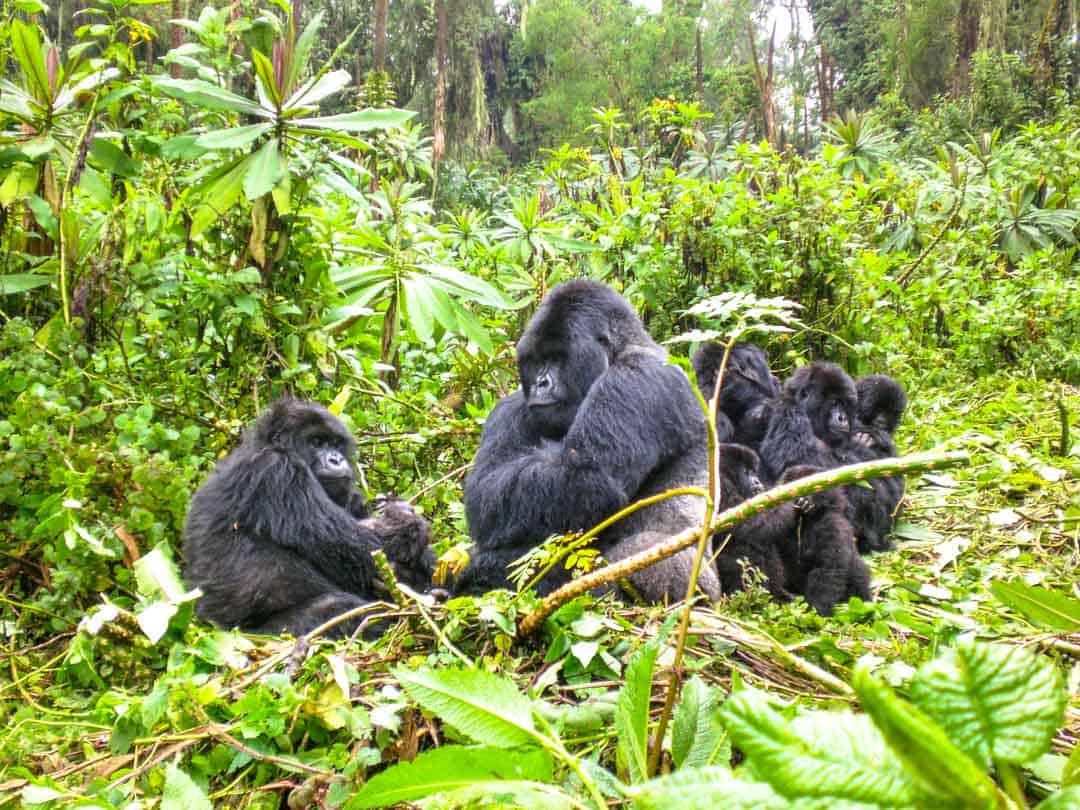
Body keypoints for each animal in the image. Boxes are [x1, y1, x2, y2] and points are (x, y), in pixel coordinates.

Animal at [184, 399, 434, 639]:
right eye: (316, 442)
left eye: (336, 444)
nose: (336, 459)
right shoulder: (277, 470)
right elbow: (356, 547)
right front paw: (405, 523)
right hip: (257, 636)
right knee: (340, 609)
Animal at [455, 278, 717, 604]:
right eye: (537, 361)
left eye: (557, 358)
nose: (541, 383)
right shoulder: (510, 408)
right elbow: (486, 489)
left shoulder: (637, 377)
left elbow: (585, 478)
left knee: (640, 550)